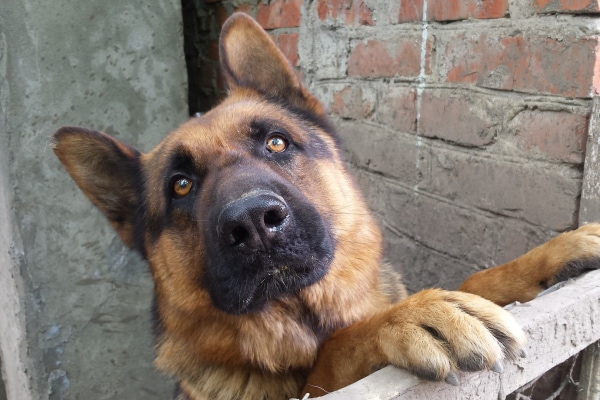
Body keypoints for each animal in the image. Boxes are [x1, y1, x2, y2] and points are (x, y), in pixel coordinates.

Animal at [52, 12, 600, 400]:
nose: (253, 222)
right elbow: (339, 348)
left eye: (276, 143)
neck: (303, 317)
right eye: (181, 186)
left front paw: (553, 253)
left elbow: (476, 281)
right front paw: (411, 316)